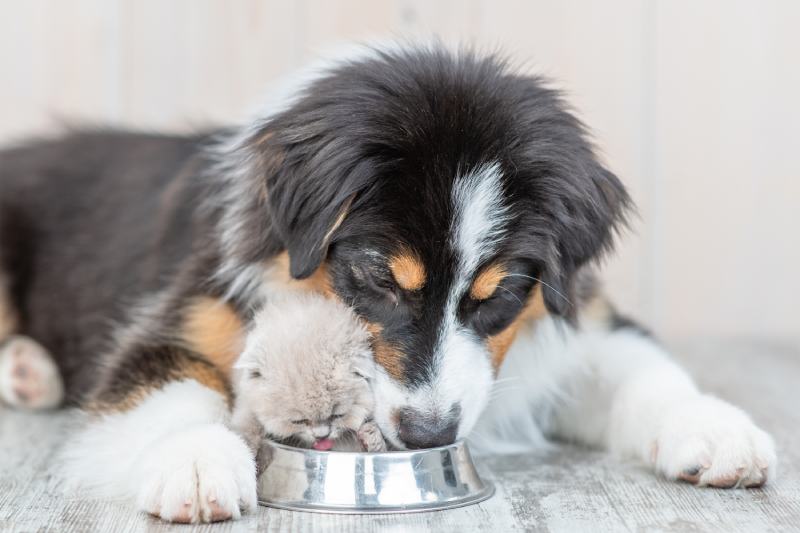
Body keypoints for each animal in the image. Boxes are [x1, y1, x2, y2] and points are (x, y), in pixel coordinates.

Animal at [230, 290, 386, 470]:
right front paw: (245, 447)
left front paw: (372, 437)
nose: (321, 436)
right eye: (299, 421)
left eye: (337, 415)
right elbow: (247, 420)